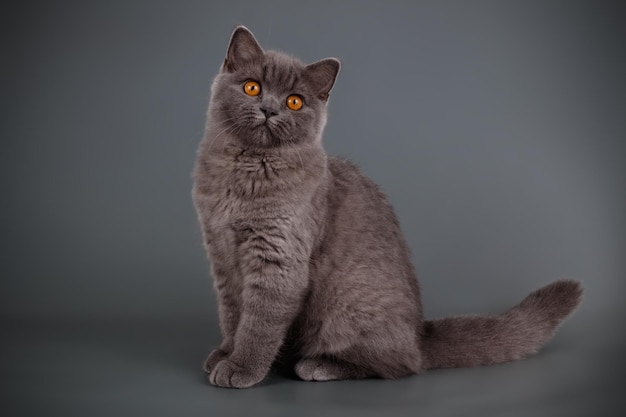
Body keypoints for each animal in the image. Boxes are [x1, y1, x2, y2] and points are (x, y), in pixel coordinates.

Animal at [190, 26, 580, 388]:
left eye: (295, 102)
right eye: (252, 87)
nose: (269, 109)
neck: (245, 171)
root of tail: (420, 334)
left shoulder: (277, 257)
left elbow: (259, 322)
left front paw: (241, 368)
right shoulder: (221, 255)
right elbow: (233, 313)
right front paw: (225, 353)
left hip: (348, 305)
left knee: (400, 364)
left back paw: (318, 365)